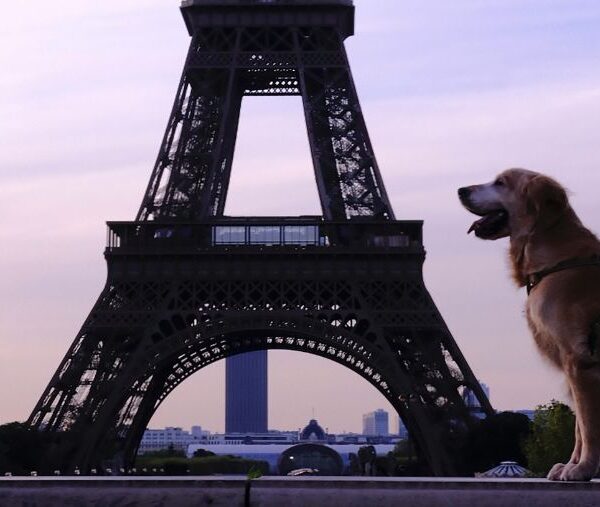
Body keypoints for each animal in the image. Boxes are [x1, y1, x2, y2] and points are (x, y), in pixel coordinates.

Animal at [460, 169, 600, 482]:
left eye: (501, 182)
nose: (461, 190)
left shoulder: (579, 360)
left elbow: (587, 425)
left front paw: (583, 468)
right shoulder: (572, 364)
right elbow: (579, 428)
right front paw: (571, 465)